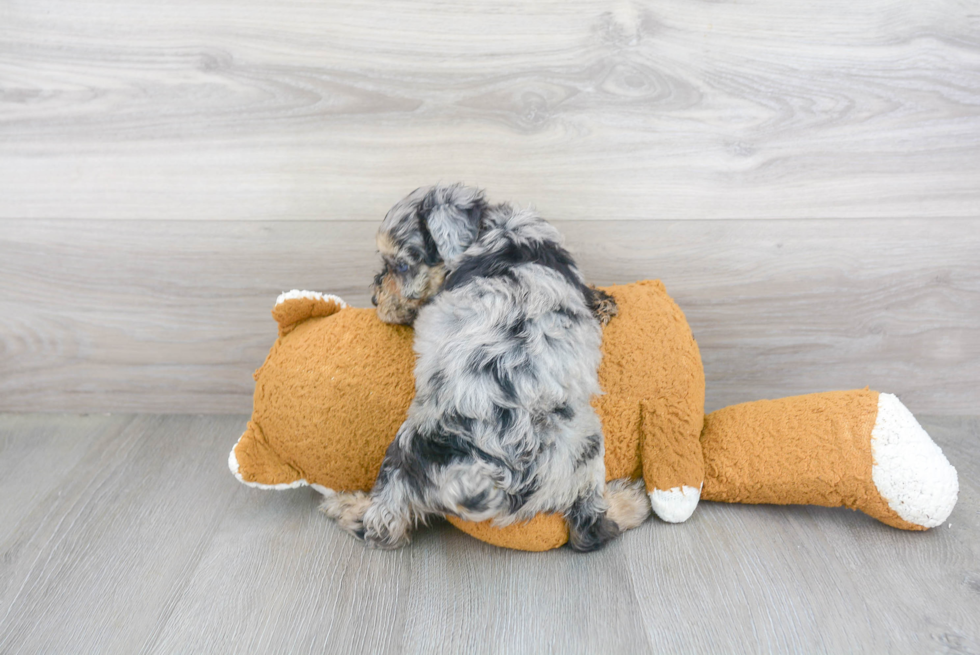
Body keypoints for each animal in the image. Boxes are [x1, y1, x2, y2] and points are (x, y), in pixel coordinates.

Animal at [318, 184, 648, 552]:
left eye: (400, 266)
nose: (375, 299)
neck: (493, 228)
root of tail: (485, 478)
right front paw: (603, 301)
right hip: (584, 442)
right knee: (589, 529)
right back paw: (632, 501)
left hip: (402, 464)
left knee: (382, 523)